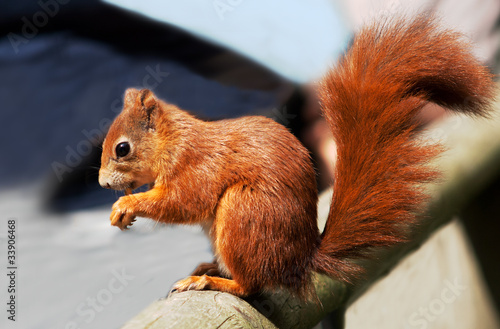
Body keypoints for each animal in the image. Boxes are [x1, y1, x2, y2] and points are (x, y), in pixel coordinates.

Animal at [98, 14, 496, 298]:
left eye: (122, 148)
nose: (102, 183)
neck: (173, 141)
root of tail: (299, 261)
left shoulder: (196, 165)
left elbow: (182, 201)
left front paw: (126, 206)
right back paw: (208, 269)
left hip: (244, 213)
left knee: (251, 286)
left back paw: (212, 282)